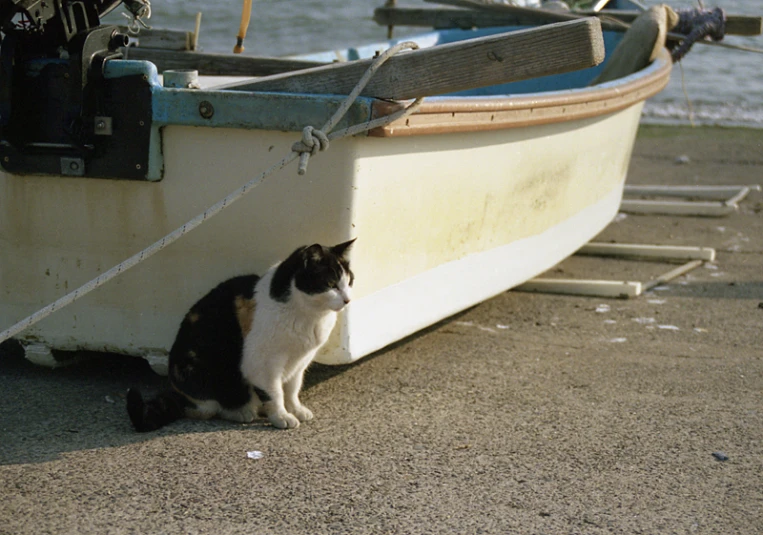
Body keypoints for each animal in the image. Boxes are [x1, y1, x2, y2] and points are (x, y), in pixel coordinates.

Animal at [127, 239, 356, 432]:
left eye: (349, 282)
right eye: (331, 284)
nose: (348, 300)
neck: (309, 316)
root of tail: (176, 392)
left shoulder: (299, 363)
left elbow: (292, 389)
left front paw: (296, 409)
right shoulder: (263, 364)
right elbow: (275, 393)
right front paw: (281, 416)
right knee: (205, 409)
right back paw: (243, 411)